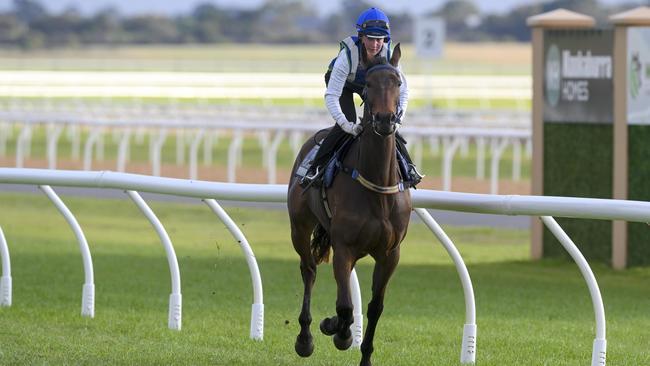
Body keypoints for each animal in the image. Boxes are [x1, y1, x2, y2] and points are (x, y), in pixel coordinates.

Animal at [288, 43, 410, 366]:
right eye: (367, 86)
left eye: (398, 82)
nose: (384, 120)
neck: (377, 188)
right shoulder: (344, 247)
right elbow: (344, 306)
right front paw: (336, 330)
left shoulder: (390, 254)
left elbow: (374, 307)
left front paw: (364, 355)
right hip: (299, 227)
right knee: (309, 270)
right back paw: (305, 338)